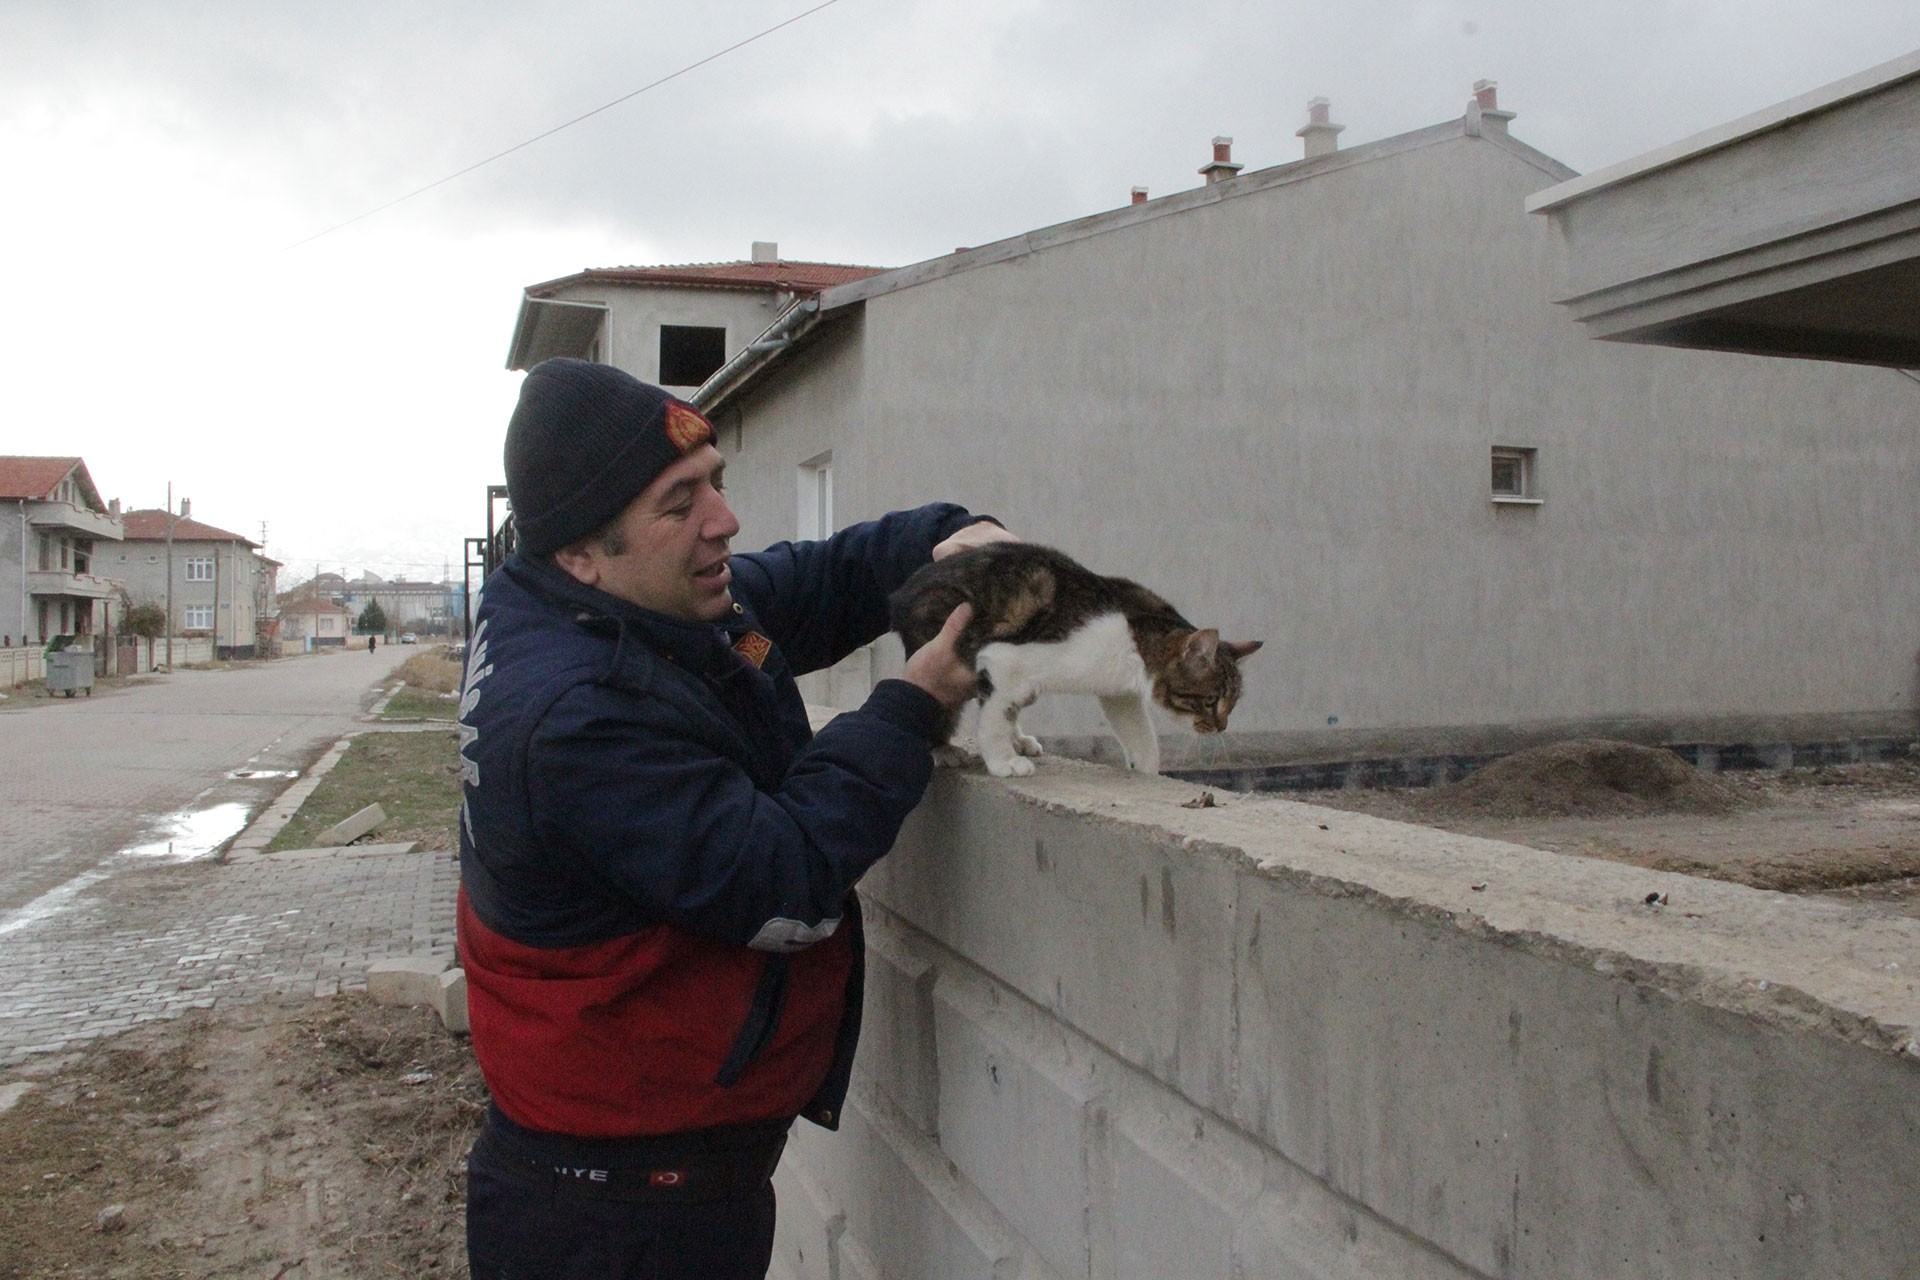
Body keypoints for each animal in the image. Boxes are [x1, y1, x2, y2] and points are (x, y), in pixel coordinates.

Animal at [894, 545, 1267, 782]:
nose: (1221, 727)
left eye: (1232, 703)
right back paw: (943, 748)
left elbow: (1139, 732)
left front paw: (1147, 771)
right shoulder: (1002, 658)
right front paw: (1003, 761)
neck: (1136, 637)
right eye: (1211, 700)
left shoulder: (1119, 693)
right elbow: (993, 718)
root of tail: (902, 594)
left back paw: (1020, 739)